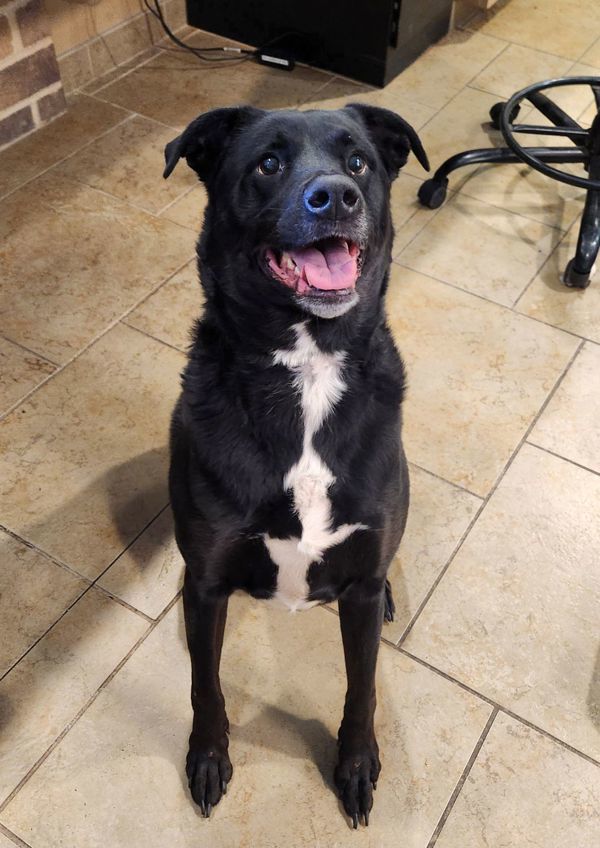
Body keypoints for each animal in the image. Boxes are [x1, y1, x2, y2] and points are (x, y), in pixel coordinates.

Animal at [162, 101, 428, 828]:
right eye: (268, 163)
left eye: (358, 160)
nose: (336, 195)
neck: (307, 367)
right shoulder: (207, 581)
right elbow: (204, 684)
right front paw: (207, 758)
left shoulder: (358, 588)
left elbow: (362, 688)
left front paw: (357, 765)